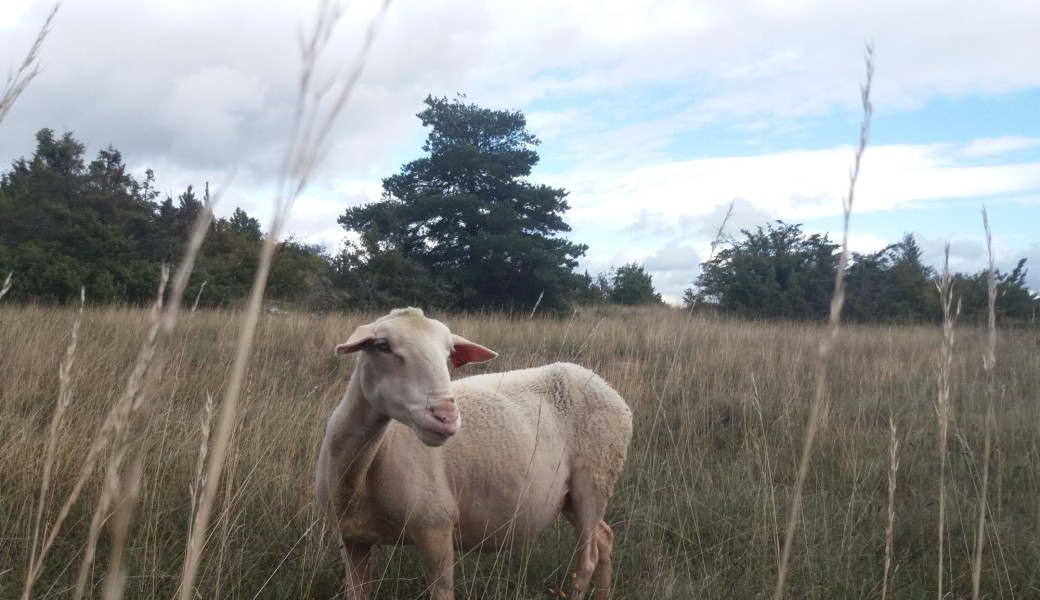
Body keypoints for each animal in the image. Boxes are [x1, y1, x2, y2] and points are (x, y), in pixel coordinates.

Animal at [312, 307, 628, 598]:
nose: (446, 416)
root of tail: (602, 383)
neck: (360, 477)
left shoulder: (436, 529)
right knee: (604, 537)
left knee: (587, 560)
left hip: (595, 479)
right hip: (569, 496)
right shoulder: (351, 539)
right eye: (382, 346)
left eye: (449, 352)